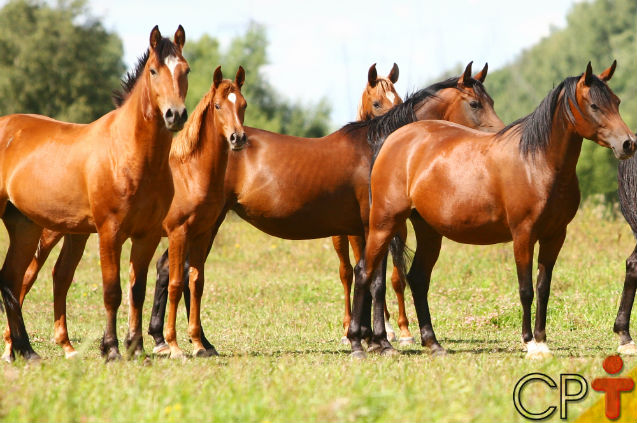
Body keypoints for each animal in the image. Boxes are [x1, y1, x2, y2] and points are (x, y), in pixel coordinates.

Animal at [0, 25, 189, 362]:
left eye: (185, 70)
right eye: (154, 71)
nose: (175, 115)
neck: (129, 154)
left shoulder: (147, 235)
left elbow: (137, 291)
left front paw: (136, 347)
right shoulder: (109, 232)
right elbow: (112, 290)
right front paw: (111, 349)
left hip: (25, 227)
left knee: (10, 279)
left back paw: (27, 351)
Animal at [6, 65, 246, 358]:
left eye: (243, 105)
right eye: (218, 105)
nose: (238, 138)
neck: (191, 172)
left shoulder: (201, 235)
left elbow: (195, 284)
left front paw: (199, 345)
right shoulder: (178, 233)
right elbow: (176, 283)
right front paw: (174, 345)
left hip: (77, 233)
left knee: (57, 276)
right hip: (50, 233)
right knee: (27, 276)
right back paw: (12, 346)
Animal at [143, 60, 502, 358]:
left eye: (492, 102)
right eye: (474, 103)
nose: (500, 133)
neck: (381, 148)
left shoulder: (369, 230)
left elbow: (372, 278)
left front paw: (373, 339)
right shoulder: (374, 227)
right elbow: (374, 280)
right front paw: (378, 342)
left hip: (206, 223)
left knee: (176, 271)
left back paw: (184, 341)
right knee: (176, 271)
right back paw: (176, 342)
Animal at [348, 61, 636, 360]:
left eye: (616, 102)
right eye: (594, 105)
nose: (628, 143)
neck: (537, 161)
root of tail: (391, 141)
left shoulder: (555, 236)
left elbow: (543, 288)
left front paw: (542, 341)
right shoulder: (523, 235)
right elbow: (526, 289)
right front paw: (530, 343)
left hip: (428, 231)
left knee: (417, 278)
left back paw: (432, 343)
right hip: (384, 223)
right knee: (364, 272)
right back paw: (358, 343)